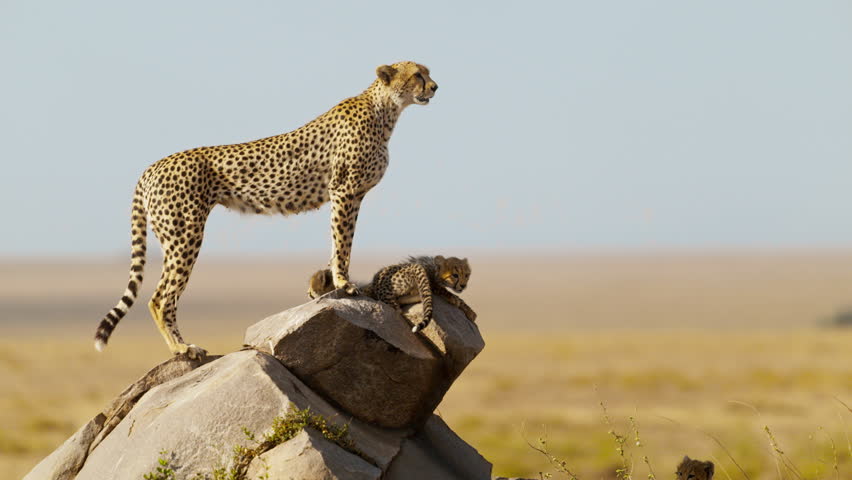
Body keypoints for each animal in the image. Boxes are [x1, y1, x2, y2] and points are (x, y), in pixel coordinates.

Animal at [93, 61, 438, 358]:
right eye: (417, 74)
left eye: (427, 72)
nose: (435, 86)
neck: (386, 109)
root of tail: (152, 166)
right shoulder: (344, 191)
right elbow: (342, 242)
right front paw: (343, 282)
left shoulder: (351, 195)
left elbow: (339, 240)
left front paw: (332, 282)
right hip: (185, 234)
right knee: (160, 297)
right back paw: (182, 348)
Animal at [308, 255, 476, 332]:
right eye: (455, 275)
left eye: (467, 275)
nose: (463, 285)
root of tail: (414, 267)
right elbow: (450, 294)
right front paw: (466, 308)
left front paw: (469, 310)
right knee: (398, 308)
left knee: (400, 307)